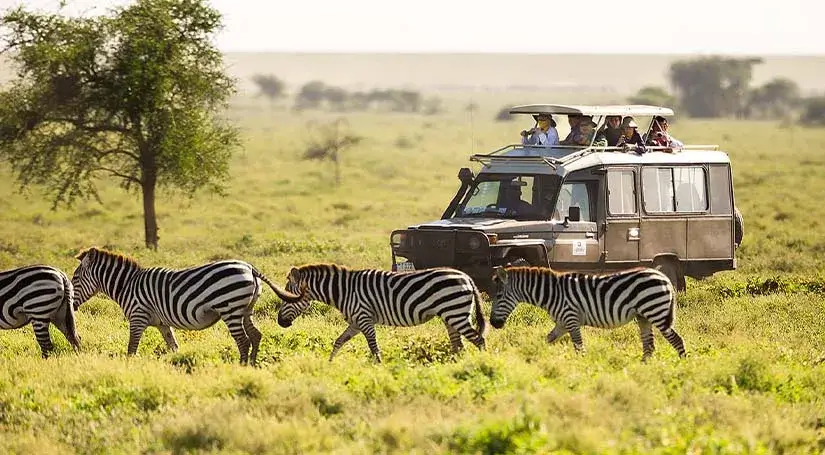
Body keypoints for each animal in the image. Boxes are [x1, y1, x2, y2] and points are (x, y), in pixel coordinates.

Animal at [71, 248, 300, 366]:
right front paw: (177, 364)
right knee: (255, 336)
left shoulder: (138, 317)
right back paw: (252, 365)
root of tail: (249, 267)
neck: (127, 285)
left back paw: (241, 367)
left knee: (243, 340)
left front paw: (129, 368)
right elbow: (173, 346)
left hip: (230, 308)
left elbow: (131, 348)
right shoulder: (162, 324)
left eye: (75, 278)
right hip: (245, 310)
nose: (71, 304)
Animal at [276, 264, 486, 364]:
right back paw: (455, 366)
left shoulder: (364, 318)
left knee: (478, 339)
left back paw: (483, 364)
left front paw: (380, 369)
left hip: (456, 312)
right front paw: (328, 365)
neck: (344, 291)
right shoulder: (355, 322)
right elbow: (338, 341)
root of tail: (466, 277)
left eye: (287, 296)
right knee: (458, 345)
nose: (279, 322)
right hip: (450, 315)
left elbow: (373, 347)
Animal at [490, 266, 684, 362]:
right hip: (643, 316)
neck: (552, 293)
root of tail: (665, 277)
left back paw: (683, 366)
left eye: (498, 296)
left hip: (656, 311)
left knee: (676, 340)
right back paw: (644, 367)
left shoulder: (571, 319)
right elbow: (547, 340)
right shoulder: (561, 323)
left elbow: (579, 347)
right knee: (649, 345)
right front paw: (533, 356)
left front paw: (581, 369)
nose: (493, 324)